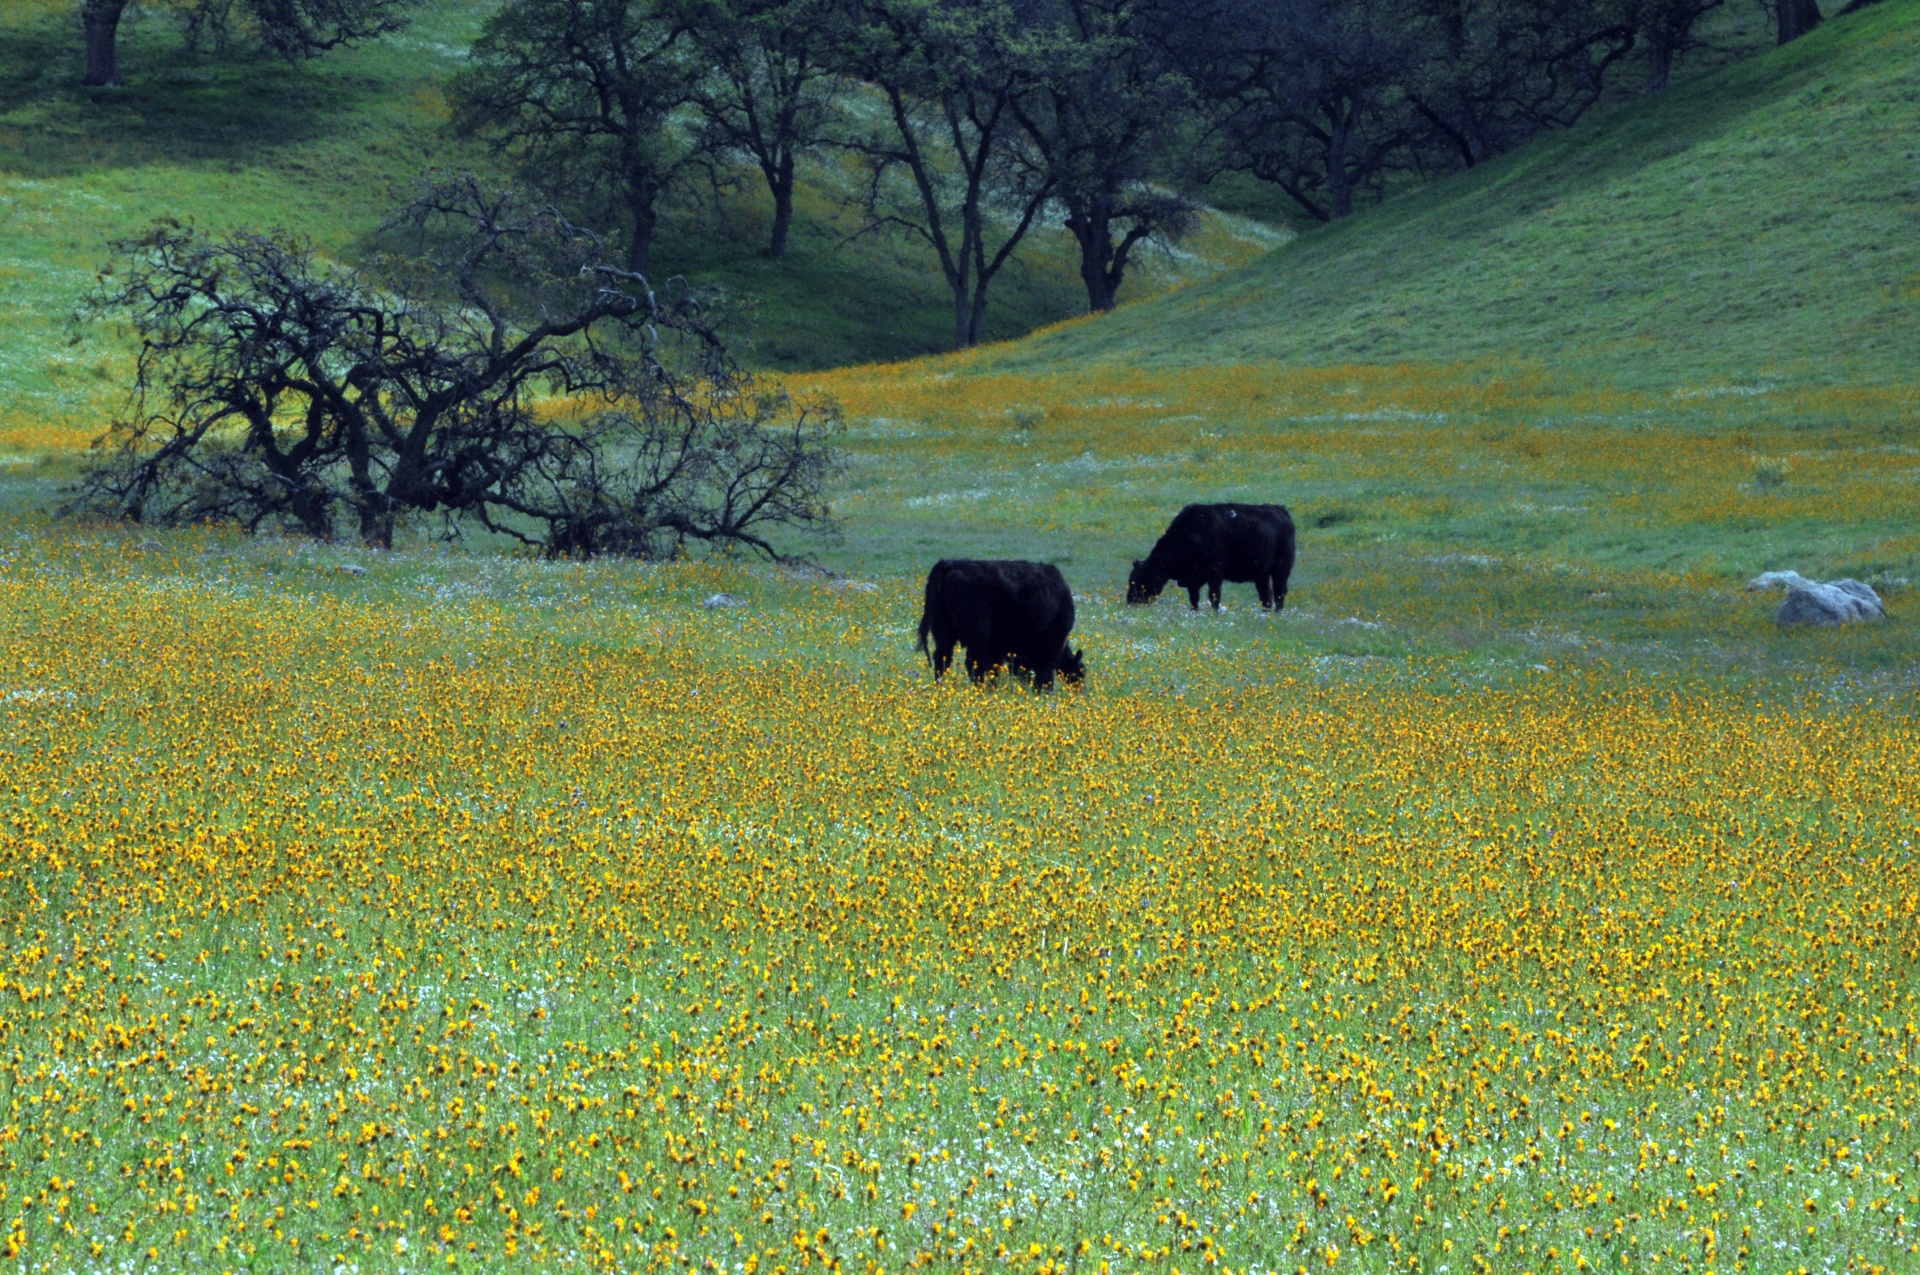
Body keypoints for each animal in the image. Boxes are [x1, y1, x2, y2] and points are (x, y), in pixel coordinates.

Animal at [917, 560, 1090, 691]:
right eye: (1081, 671)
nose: (1080, 689)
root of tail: (949, 565)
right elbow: (1042, 671)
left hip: (944, 632)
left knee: (943, 658)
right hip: (977, 636)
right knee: (973, 663)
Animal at [1121, 503, 1305, 614]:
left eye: (1141, 580)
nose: (1130, 601)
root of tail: (1282, 511)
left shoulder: (1214, 575)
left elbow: (1214, 597)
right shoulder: (1193, 581)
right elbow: (1194, 599)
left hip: (1280, 570)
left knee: (1280, 592)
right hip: (1262, 575)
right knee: (1266, 595)